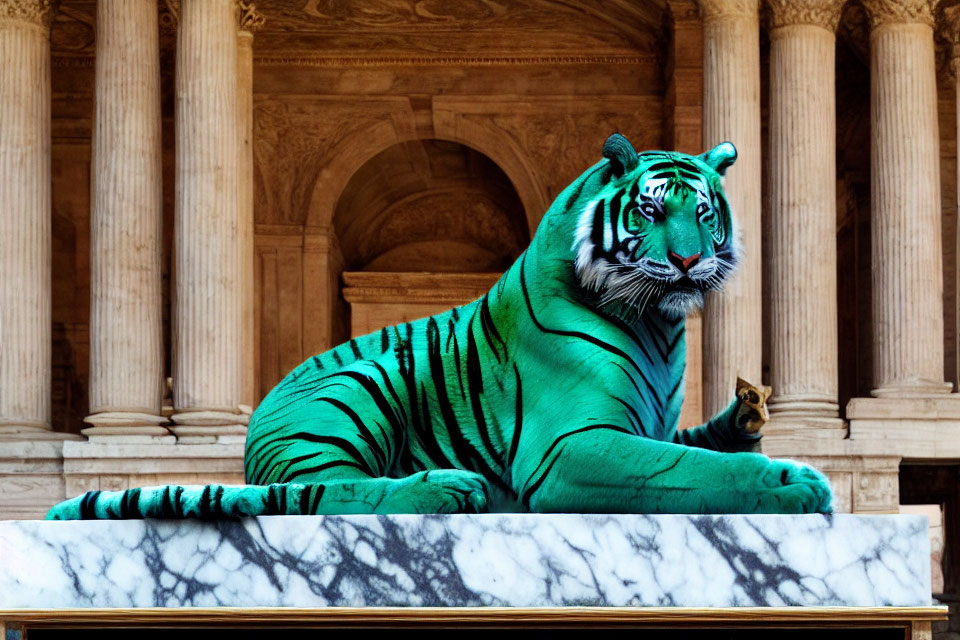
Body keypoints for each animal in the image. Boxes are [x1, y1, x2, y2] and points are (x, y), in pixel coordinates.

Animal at [47, 134, 832, 520]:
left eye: (703, 212)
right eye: (649, 210)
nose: (691, 262)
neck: (659, 329)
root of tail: (254, 429)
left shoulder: (642, 425)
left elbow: (698, 443)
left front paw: (747, 415)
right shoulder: (571, 448)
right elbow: (691, 471)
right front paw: (793, 479)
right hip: (358, 385)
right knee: (323, 495)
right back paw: (445, 488)